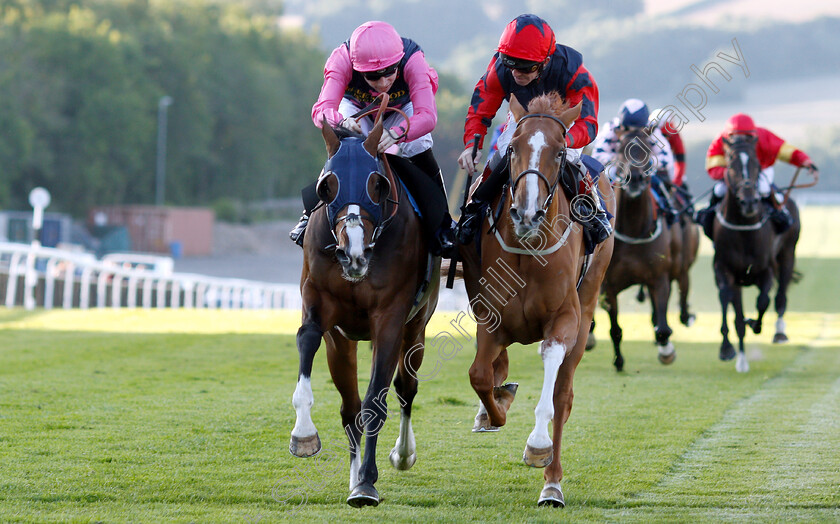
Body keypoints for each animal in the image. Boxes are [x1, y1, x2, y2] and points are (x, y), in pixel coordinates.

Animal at [288, 105, 440, 504]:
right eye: (327, 185)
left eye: (377, 184)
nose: (352, 253)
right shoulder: (321, 307)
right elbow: (307, 338)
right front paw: (304, 435)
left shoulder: (389, 318)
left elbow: (376, 401)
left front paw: (368, 482)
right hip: (343, 343)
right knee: (349, 406)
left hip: (416, 327)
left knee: (405, 389)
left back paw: (401, 454)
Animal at [460, 92, 616, 506]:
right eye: (512, 148)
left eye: (560, 151)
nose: (526, 213)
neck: (528, 249)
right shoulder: (490, 316)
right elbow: (480, 375)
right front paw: (495, 407)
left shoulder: (565, 319)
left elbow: (551, 371)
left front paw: (537, 444)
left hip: (588, 304)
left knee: (563, 395)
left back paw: (552, 482)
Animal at [600, 129, 700, 370]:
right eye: (621, 148)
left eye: (648, 147)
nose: (635, 178)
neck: (634, 229)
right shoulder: (608, 286)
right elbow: (615, 329)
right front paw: (618, 360)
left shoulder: (659, 277)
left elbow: (662, 327)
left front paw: (667, 352)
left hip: (680, 268)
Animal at [716, 135, 800, 372]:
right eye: (731, 165)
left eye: (756, 164)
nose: (749, 202)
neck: (745, 230)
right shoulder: (725, 269)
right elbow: (729, 304)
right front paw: (729, 350)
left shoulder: (766, 269)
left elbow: (763, 301)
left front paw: (755, 323)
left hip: (788, 254)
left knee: (780, 296)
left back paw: (779, 332)